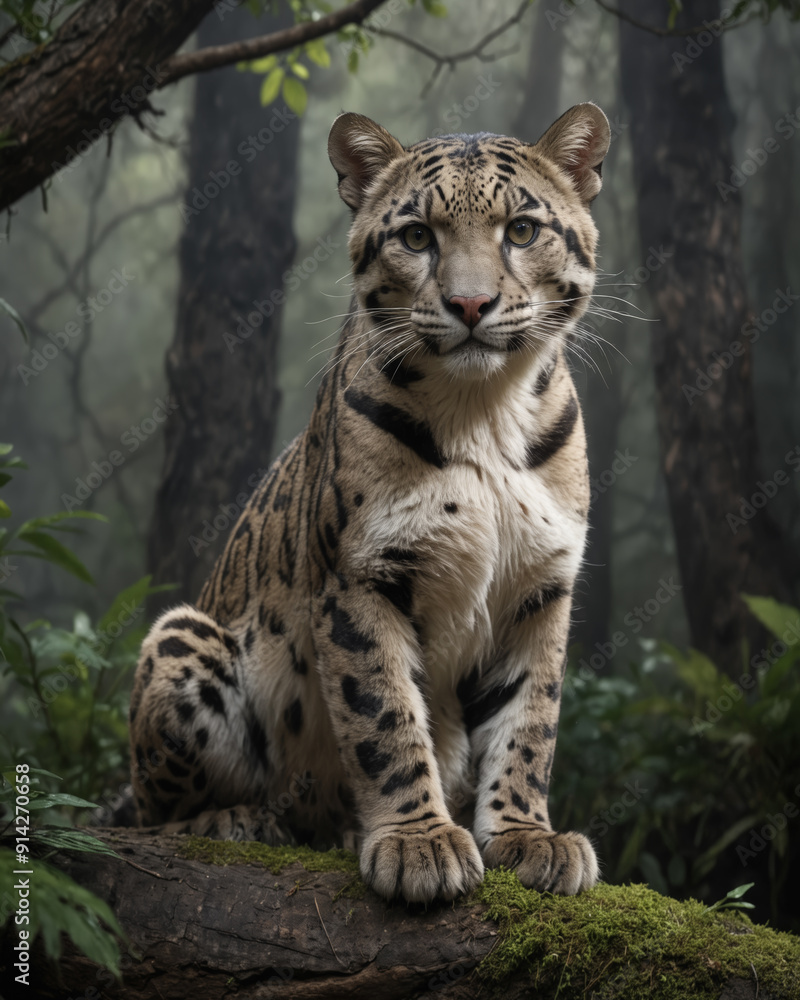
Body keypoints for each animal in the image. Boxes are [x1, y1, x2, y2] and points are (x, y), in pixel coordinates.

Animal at [128, 103, 611, 904]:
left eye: (520, 230)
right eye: (417, 237)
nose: (470, 304)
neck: (483, 411)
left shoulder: (540, 590)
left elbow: (529, 724)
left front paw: (527, 837)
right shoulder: (361, 576)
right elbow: (383, 715)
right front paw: (419, 843)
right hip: (182, 639)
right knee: (150, 814)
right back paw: (244, 821)